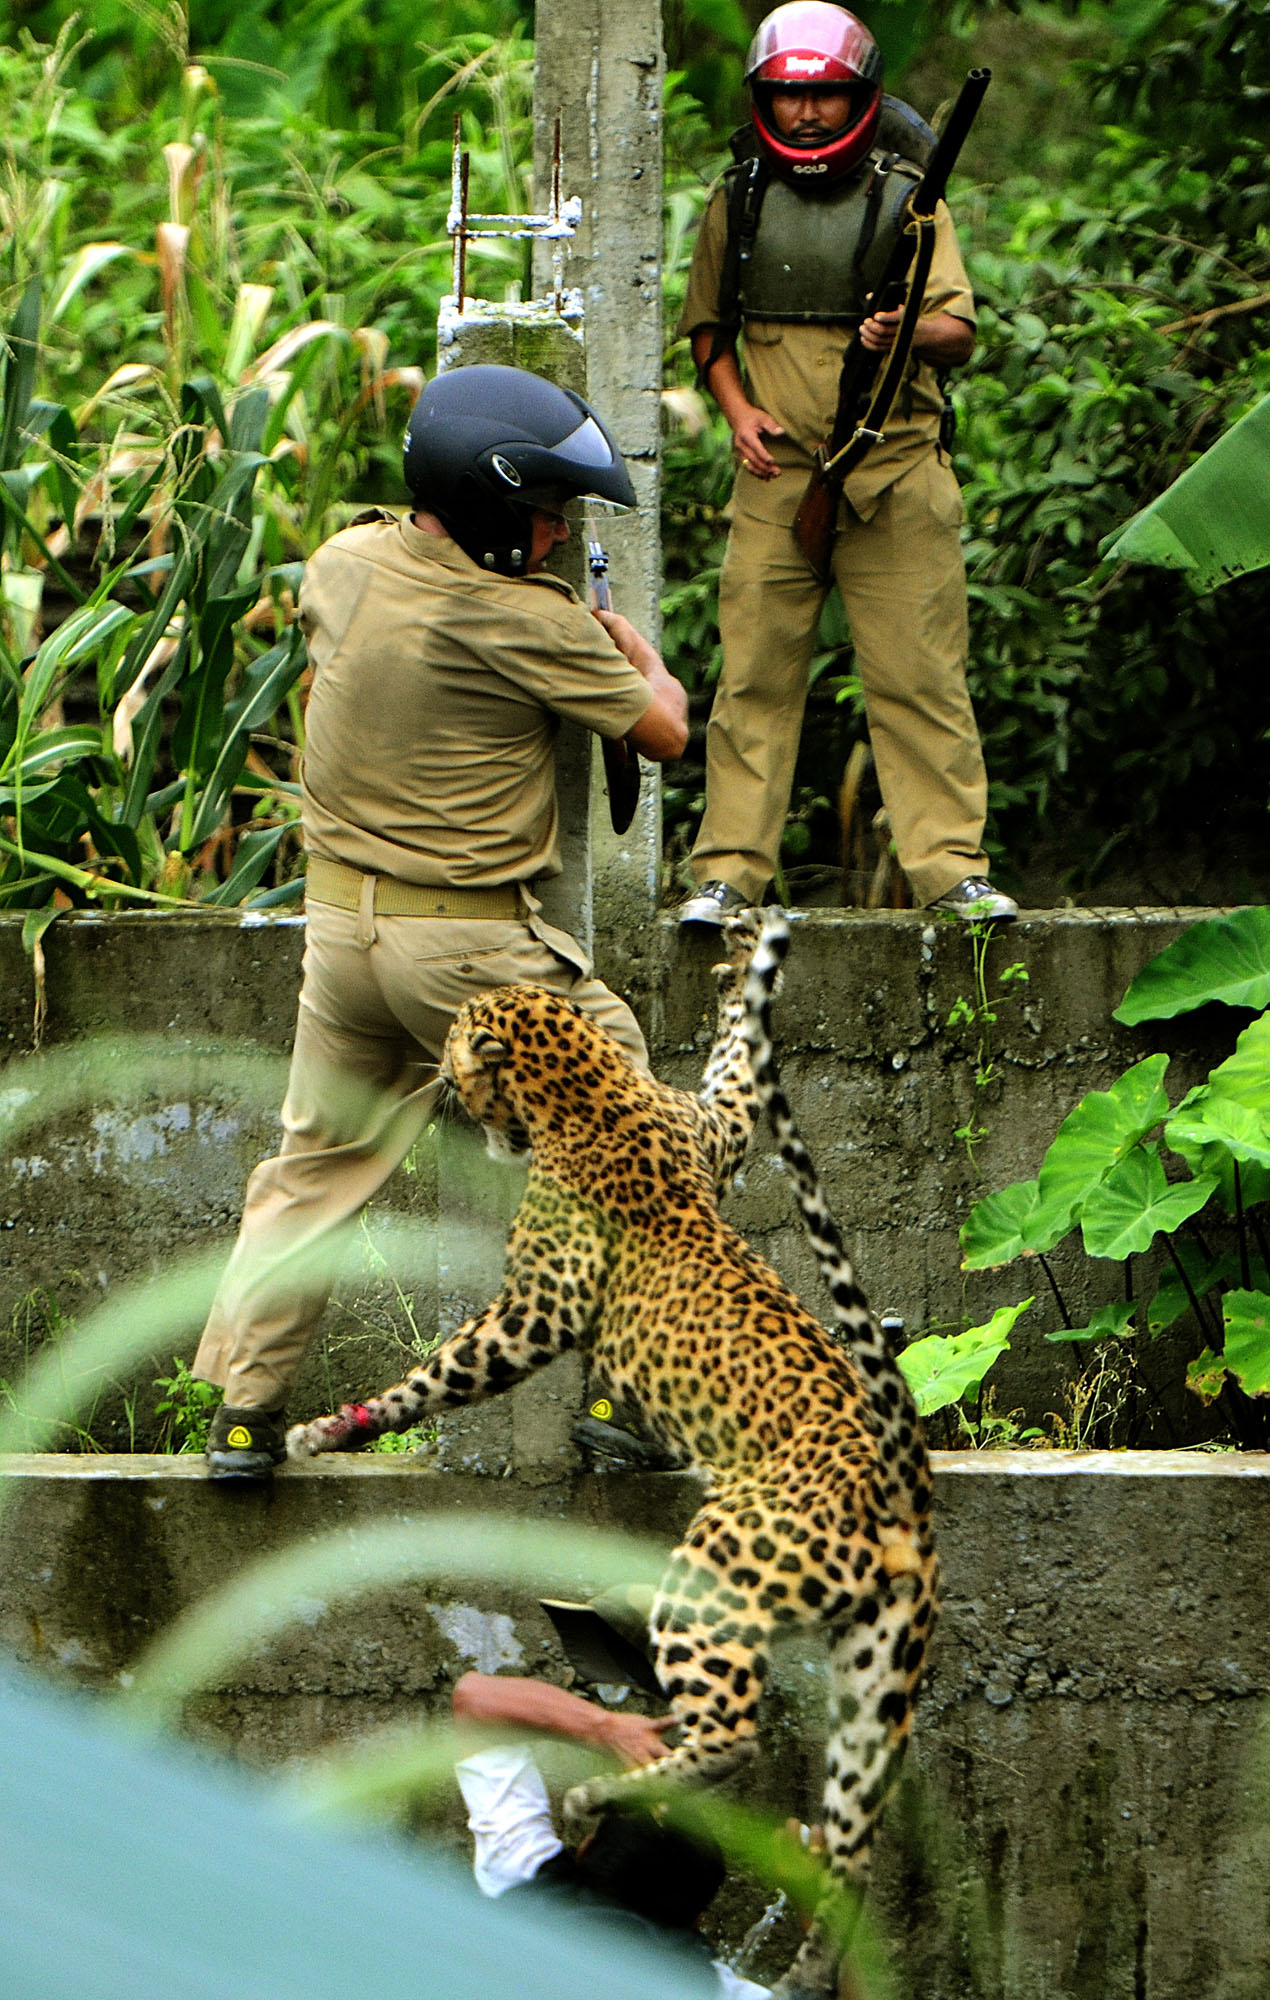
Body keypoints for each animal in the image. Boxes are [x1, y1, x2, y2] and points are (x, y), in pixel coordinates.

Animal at [287, 911, 937, 2000]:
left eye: (456, 1040)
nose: (442, 1081)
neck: (584, 1087)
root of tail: (901, 1486)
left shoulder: (536, 1305)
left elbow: (446, 1365)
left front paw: (336, 1428)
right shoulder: (716, 1126)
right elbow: (736, 1072)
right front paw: (744, 969)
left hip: (720, 1574)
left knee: (731, 1730)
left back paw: (609, 1790)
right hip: (874, 1674)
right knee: (852, 1840)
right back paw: (808, 1955)